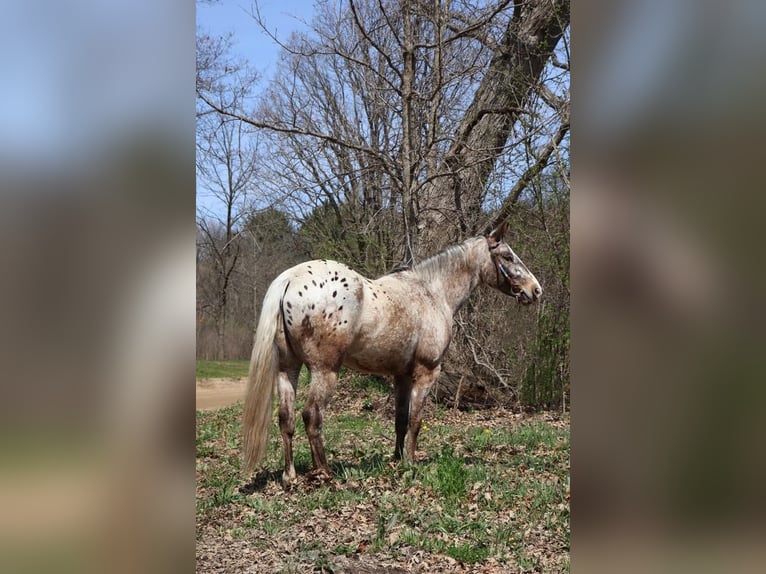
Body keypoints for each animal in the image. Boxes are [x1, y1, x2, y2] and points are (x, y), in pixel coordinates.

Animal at [242, 221, 542, 486]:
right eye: (507, 256)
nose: (535, 290)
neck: (432, 293)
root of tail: (291, 278)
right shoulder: (425, 374)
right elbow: (416, 421)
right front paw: (410, 463)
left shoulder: (402, 377)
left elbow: (400, 420)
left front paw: (397, 460)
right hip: (324, 371)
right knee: (312, 416)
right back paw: (324, 473)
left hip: (288, 370)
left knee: (286, 419)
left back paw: (289, 476)